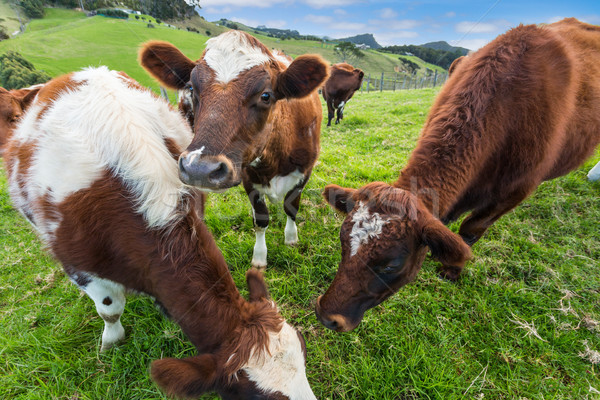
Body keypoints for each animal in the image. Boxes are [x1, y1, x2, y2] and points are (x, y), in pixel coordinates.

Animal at [140, 31, 328, 268]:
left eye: (266, 95)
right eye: (191, 88)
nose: (199, 169)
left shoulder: (305, 171)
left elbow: (291, 205)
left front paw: (291, 238)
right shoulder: (247, 175)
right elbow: (261, 218)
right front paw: (259, 258)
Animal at [314, 17, 600, 332]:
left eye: (391, 265)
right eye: (343, 242)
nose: (328, 316)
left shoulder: (516, 191)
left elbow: (470, 231)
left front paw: (453, 268)